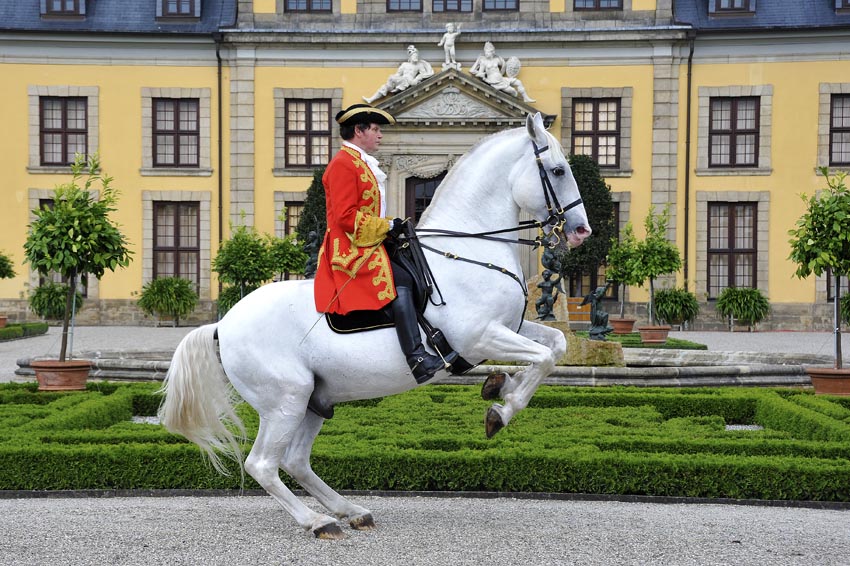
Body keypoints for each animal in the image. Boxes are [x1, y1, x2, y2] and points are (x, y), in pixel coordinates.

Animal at [158, 112, 592, 539]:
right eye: (557, 170)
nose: (580, 230)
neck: (466, 249)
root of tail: (223, 324)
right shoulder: (481, 337)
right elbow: (542, 358)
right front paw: (502, 409)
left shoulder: (508, 327)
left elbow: (555, 345)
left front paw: (499, 386)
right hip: (285, 400)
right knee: (263, 464)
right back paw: (317, 521)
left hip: (314, 400)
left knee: (295, 461)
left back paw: (349, 511)